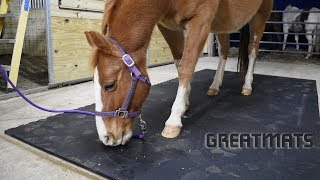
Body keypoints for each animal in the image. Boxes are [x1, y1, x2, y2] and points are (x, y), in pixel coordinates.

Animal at [84, 0, 272, 146]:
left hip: (260, 15)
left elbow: (186, 66)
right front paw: (185, 102)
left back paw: (247, 85)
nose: (106, 138)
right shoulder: (168, 27)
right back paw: (215, 86)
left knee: (253, 50)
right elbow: (178, 61)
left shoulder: (200, 20)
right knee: (224, 50)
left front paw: (174, 120)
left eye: (109, 85)